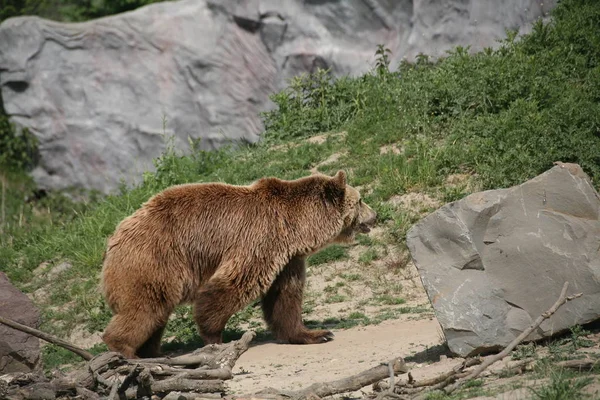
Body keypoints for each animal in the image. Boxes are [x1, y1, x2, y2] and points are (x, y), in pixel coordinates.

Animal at [101, 170, 378, 358]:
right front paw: (215, 336)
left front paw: (315, 334)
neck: (295, 226)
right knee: (144, 308)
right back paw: (125, 350)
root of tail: (113, 239)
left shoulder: (287, 259)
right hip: (155, 260)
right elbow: (232, 285)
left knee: (156, 313)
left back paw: (153, 352)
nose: (375, 216)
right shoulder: (259, 240)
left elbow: (285, 297)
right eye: (361, 199)